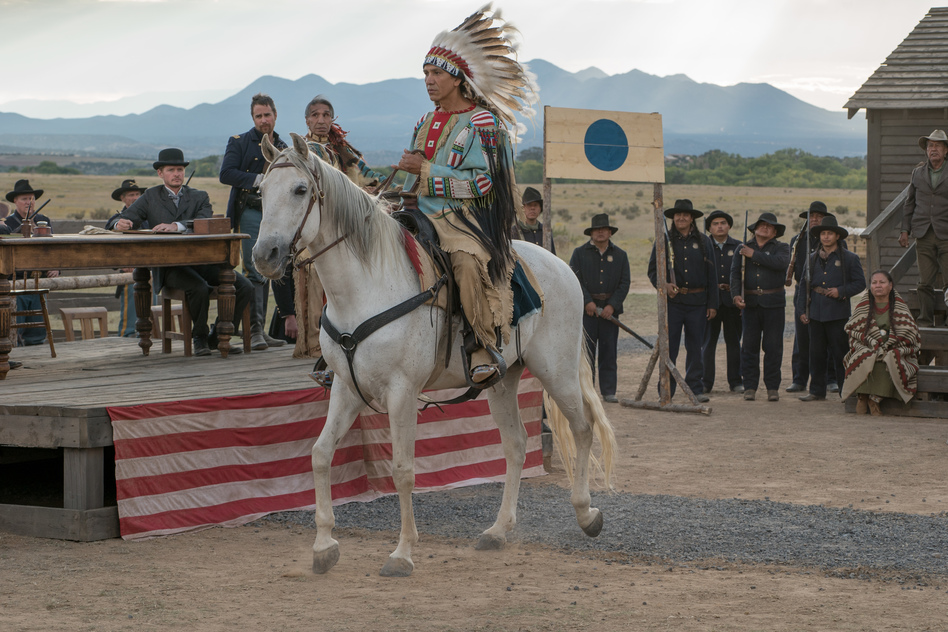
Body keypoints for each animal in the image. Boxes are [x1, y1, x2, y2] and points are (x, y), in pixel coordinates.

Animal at [256, 133, 620, 576]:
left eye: (300, 190)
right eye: (260, 191)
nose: (264, 256)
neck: (366, 285)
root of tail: (560, 265)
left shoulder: (402, 392)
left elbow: (403, 469)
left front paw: (402, 553)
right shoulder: (345, 387)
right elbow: (321, 454)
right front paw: (324, 545)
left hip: (557, 369)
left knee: (583, 428)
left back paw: (586, 513)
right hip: (503, 379)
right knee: (516, 444)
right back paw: (497, 530)